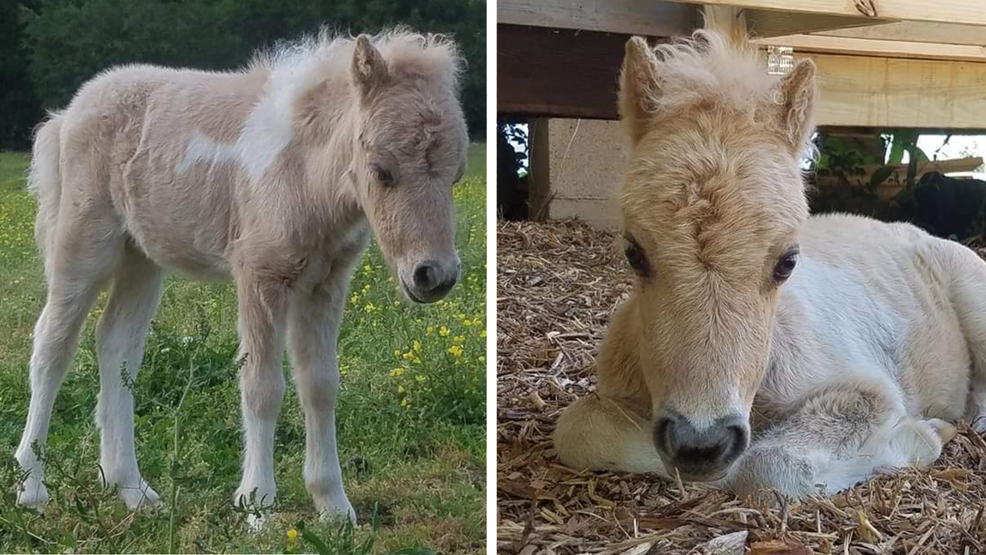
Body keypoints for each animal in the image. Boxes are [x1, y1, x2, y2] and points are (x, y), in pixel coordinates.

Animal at [15, 28, 468, 523]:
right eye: (381, 171)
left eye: (456, 175)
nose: (433, 275)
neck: (303, 172)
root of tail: (68, 114)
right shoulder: (260, 276)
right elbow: (262, 388)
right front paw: (257, 505)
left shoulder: (326, 285)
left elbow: (321, 385)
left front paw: (333, 505)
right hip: (84, 244)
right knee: (53, 345)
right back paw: (31, 487)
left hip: (141, 257)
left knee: (117, 346)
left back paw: (132, 489)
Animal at [553, 30, 986, 500]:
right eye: (634, 252)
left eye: (787, 262)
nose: (701, 443)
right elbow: (577, 430)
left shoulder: (869, 388)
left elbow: (767, 466)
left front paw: (923, 433)